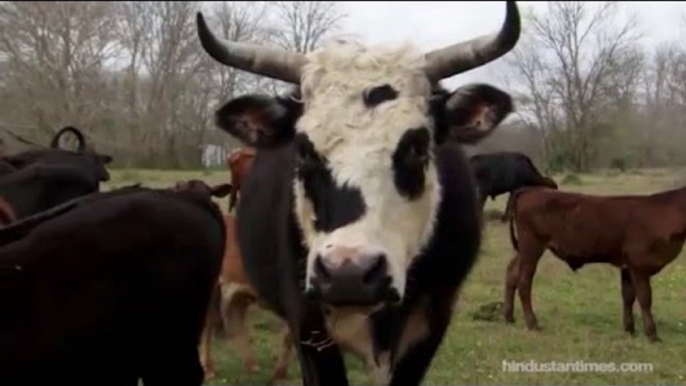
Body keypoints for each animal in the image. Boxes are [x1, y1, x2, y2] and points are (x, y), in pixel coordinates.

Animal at [502, 185, 686, 342]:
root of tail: (531, 190)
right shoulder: (638, 266)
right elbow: (645, 299)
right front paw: (652, 335)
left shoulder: (627, 267)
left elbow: (628, 297)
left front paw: (630, 330)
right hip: (531, 247)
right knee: (524, 282)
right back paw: (532, 323)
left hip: (524, 250)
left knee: (512, 273)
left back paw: (509, 317)